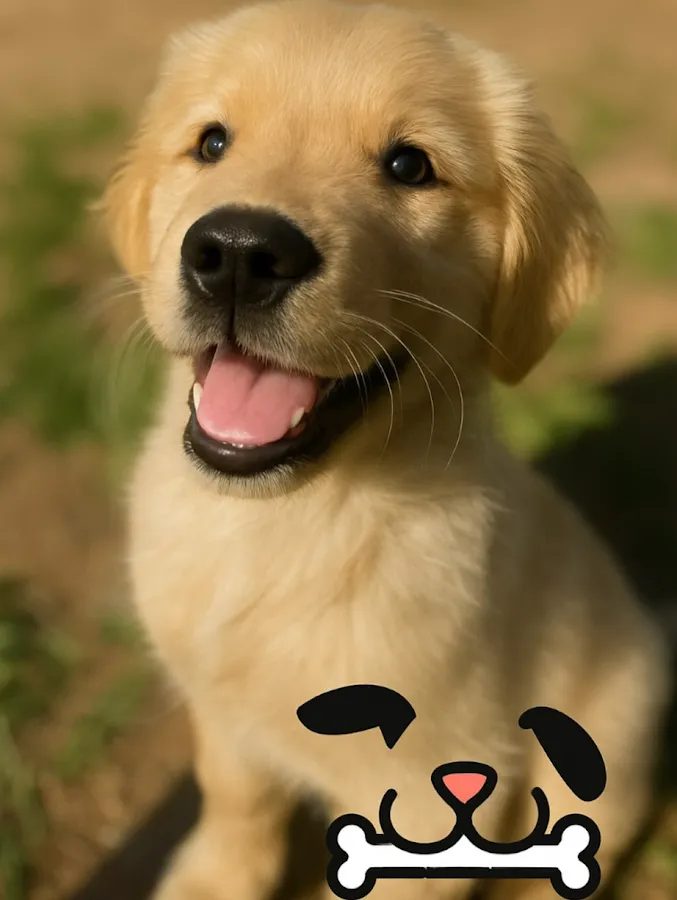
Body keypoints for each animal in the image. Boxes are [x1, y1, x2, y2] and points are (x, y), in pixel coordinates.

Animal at [102, 2, 671, 898]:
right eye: (212, 142)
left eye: (410, 166)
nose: (238, 254)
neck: (288, 519)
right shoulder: (219, 706)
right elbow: (234, 795)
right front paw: (212, 877)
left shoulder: (438, 778)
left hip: (614, 717)